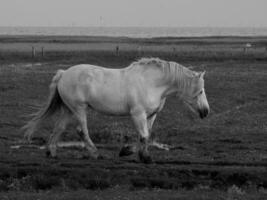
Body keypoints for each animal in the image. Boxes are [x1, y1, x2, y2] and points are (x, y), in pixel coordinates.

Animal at [23, 57, 210, 162]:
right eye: (201, 91)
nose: (206, 111)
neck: (151, 83)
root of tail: (63, 74)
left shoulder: (151, 115)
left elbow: (146, 136)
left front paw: (131, 152)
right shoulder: (137, 114)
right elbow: (144, 135)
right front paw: (144, 157)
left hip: (69, 110)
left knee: (59, 128)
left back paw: (51, 152)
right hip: (79, 109)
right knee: (81, 130)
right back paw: (95, 153)